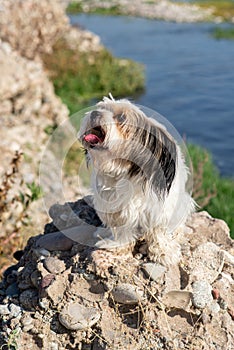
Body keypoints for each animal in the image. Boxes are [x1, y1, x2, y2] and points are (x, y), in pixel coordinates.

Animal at [77, 95, 195, 266]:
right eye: (101, 107)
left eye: (121, 117)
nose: (94, 113)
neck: (124, 171)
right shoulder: (117, 209)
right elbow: (122, 229)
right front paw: (117, 245)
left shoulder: (159, 209)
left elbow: (158, 232)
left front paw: (163, 252)